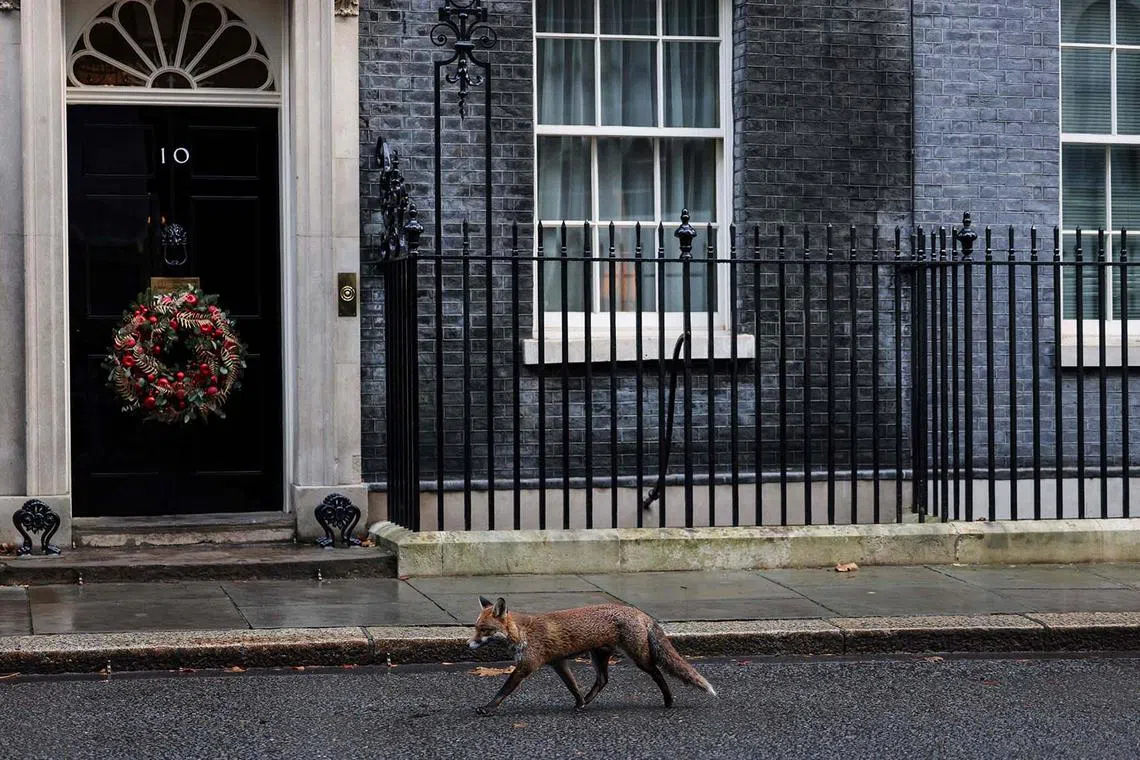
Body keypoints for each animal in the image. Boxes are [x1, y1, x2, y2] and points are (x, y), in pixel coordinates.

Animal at [467, 595, 716, 714]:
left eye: (484, 630)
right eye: (475, 627)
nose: (469, 644)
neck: (522, 633)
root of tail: (640, 613)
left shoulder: (526, 666)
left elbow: (503, 691)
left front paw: (488, 708)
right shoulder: (559, 663)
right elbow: (573, 686)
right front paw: (579, 702)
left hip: (639, 658)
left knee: (657, 673)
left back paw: (669, 700)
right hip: (598, 656)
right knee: (603, 680)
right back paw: (587, 701)